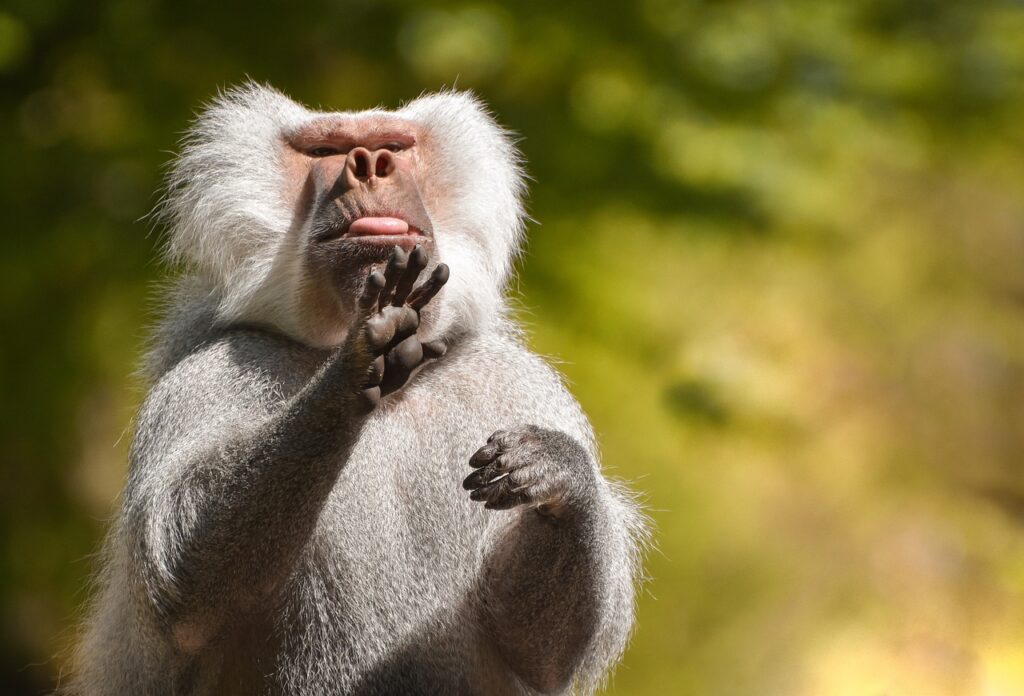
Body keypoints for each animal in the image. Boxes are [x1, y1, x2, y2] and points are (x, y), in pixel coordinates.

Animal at [70, 83, 646, 696]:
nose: (370, 163)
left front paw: (556, 470)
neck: (399, 391)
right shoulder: (203, 378)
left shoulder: (522, 388)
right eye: (326, 150)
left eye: (393, 144)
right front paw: (364, 353)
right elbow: (183, 578)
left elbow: (542, 650)